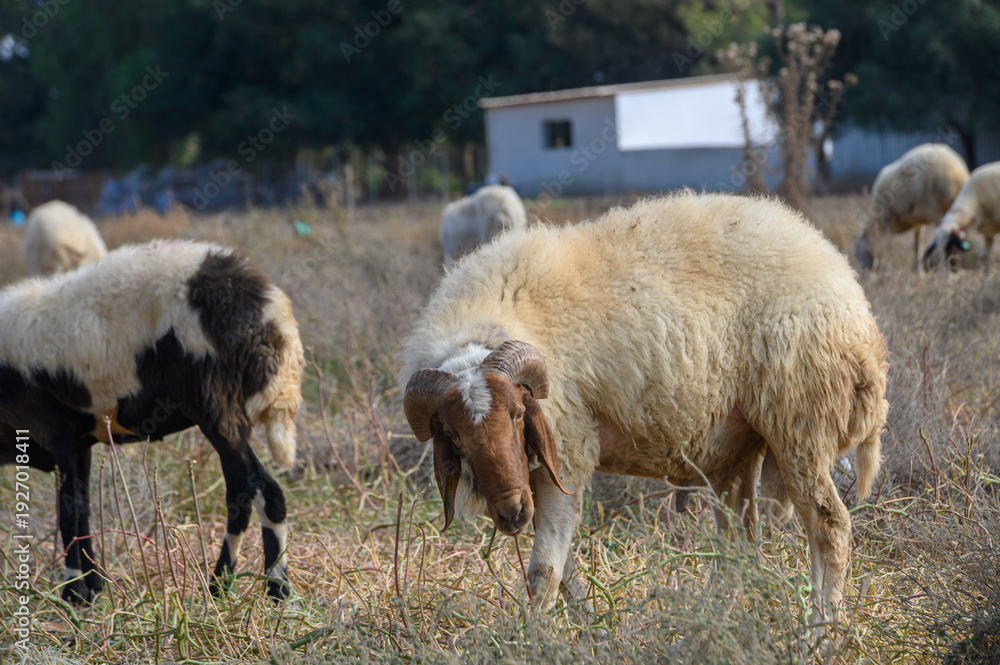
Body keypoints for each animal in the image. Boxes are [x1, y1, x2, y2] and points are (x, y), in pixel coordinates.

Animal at [0, 239, 304, 603]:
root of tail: (269, 314)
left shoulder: (54, 432)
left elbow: (68, 510)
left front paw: (75, 591)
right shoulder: (79, 441)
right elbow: (83, 507)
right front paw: (93, 584)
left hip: (214, 407)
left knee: (263, 490)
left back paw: (276, 589)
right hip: (225, 415)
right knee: (240, 495)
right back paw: (220, 587)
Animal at [399, 192, 889, 621]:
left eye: (518, 414)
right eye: (455, 436)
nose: (512, 513)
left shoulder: (567, 451)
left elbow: (544, 572)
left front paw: (535, 638)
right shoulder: (535, 470)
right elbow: (564, 569)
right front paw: (587, 622)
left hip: (801, 426)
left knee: (830, 527)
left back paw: (822, 632)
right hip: (743, 443)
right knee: (740, 539)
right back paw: (727, 618)